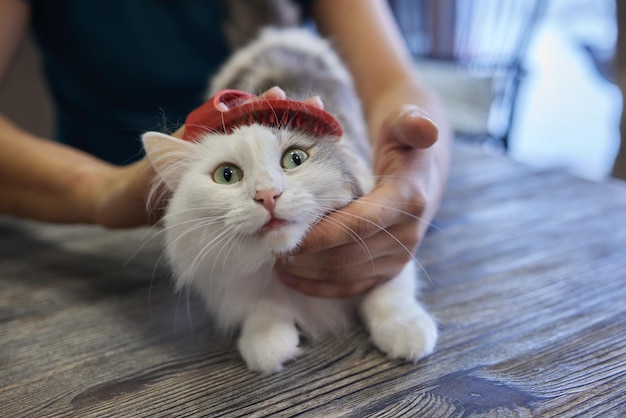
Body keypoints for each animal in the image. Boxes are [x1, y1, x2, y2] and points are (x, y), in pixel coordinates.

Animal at [143, 27, 434, 374]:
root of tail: (277, 34)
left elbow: (387, 291)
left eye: (295, 159)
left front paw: (408, 333)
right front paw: (268, 345)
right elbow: (264, 310)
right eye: (227, 175)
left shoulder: (385, 247)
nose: (267, 195)